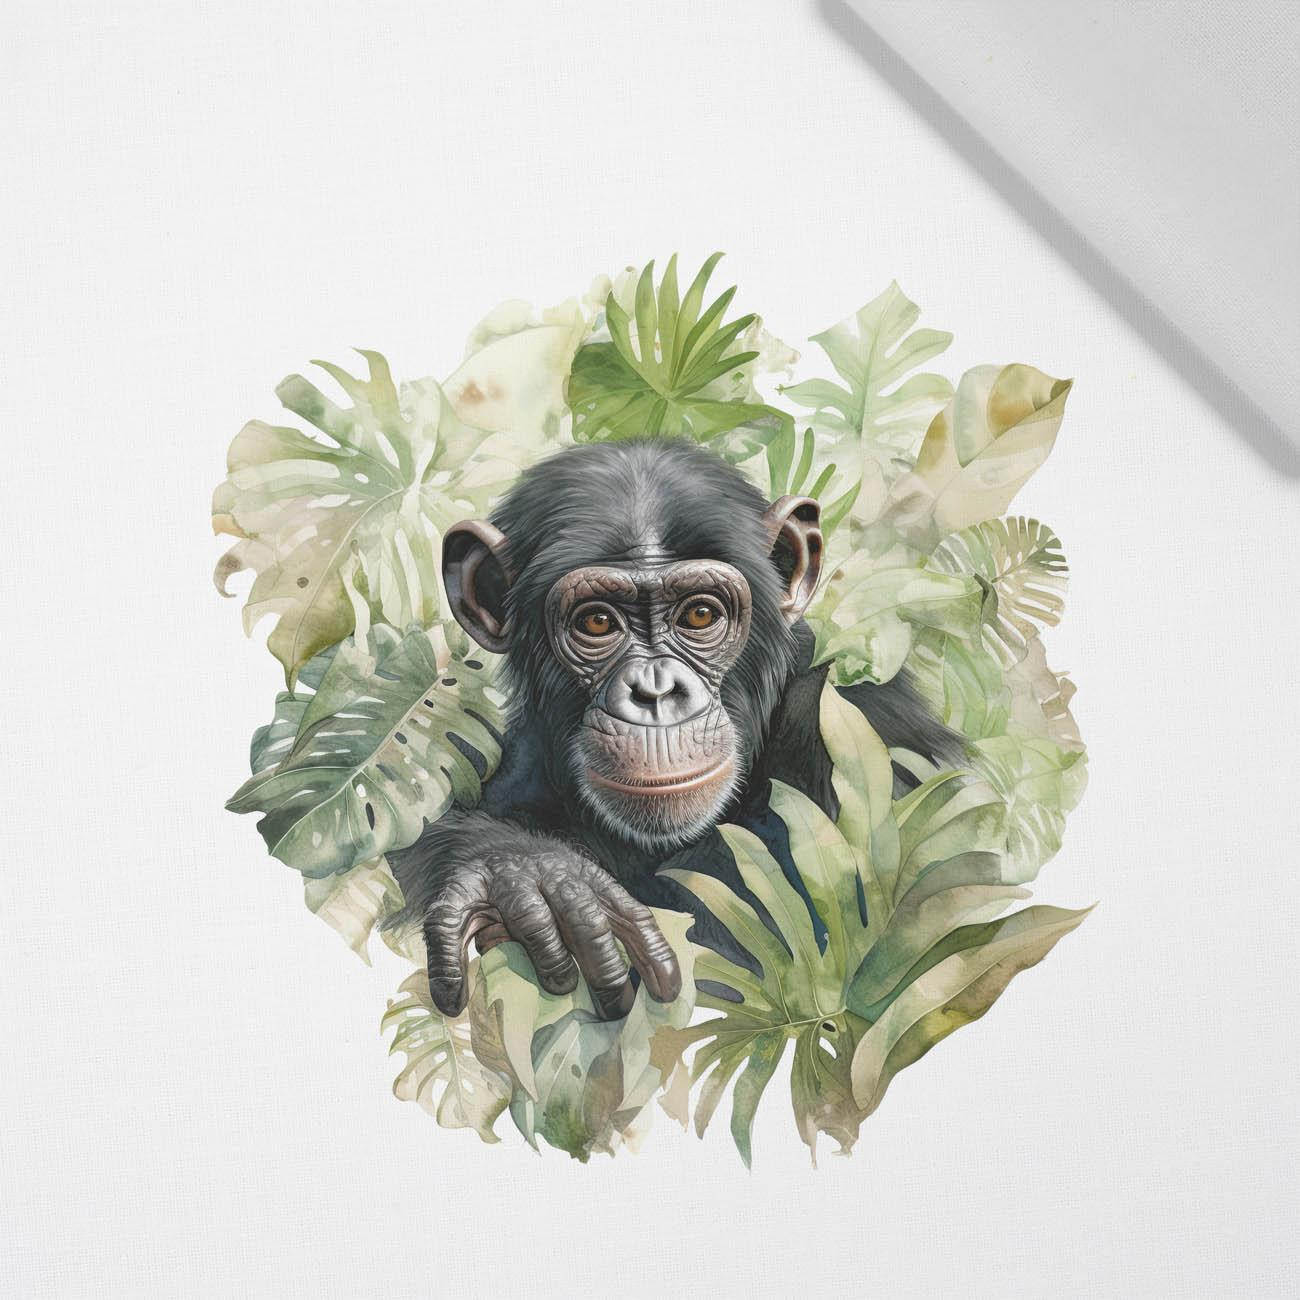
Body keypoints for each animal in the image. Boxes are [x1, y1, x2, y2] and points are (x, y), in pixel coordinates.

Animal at [386, 437, 962, 1020]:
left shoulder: (867, 732)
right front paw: (531, 877)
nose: (656, 691)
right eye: (597, 621)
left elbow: (726, 949)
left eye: (700, 615)